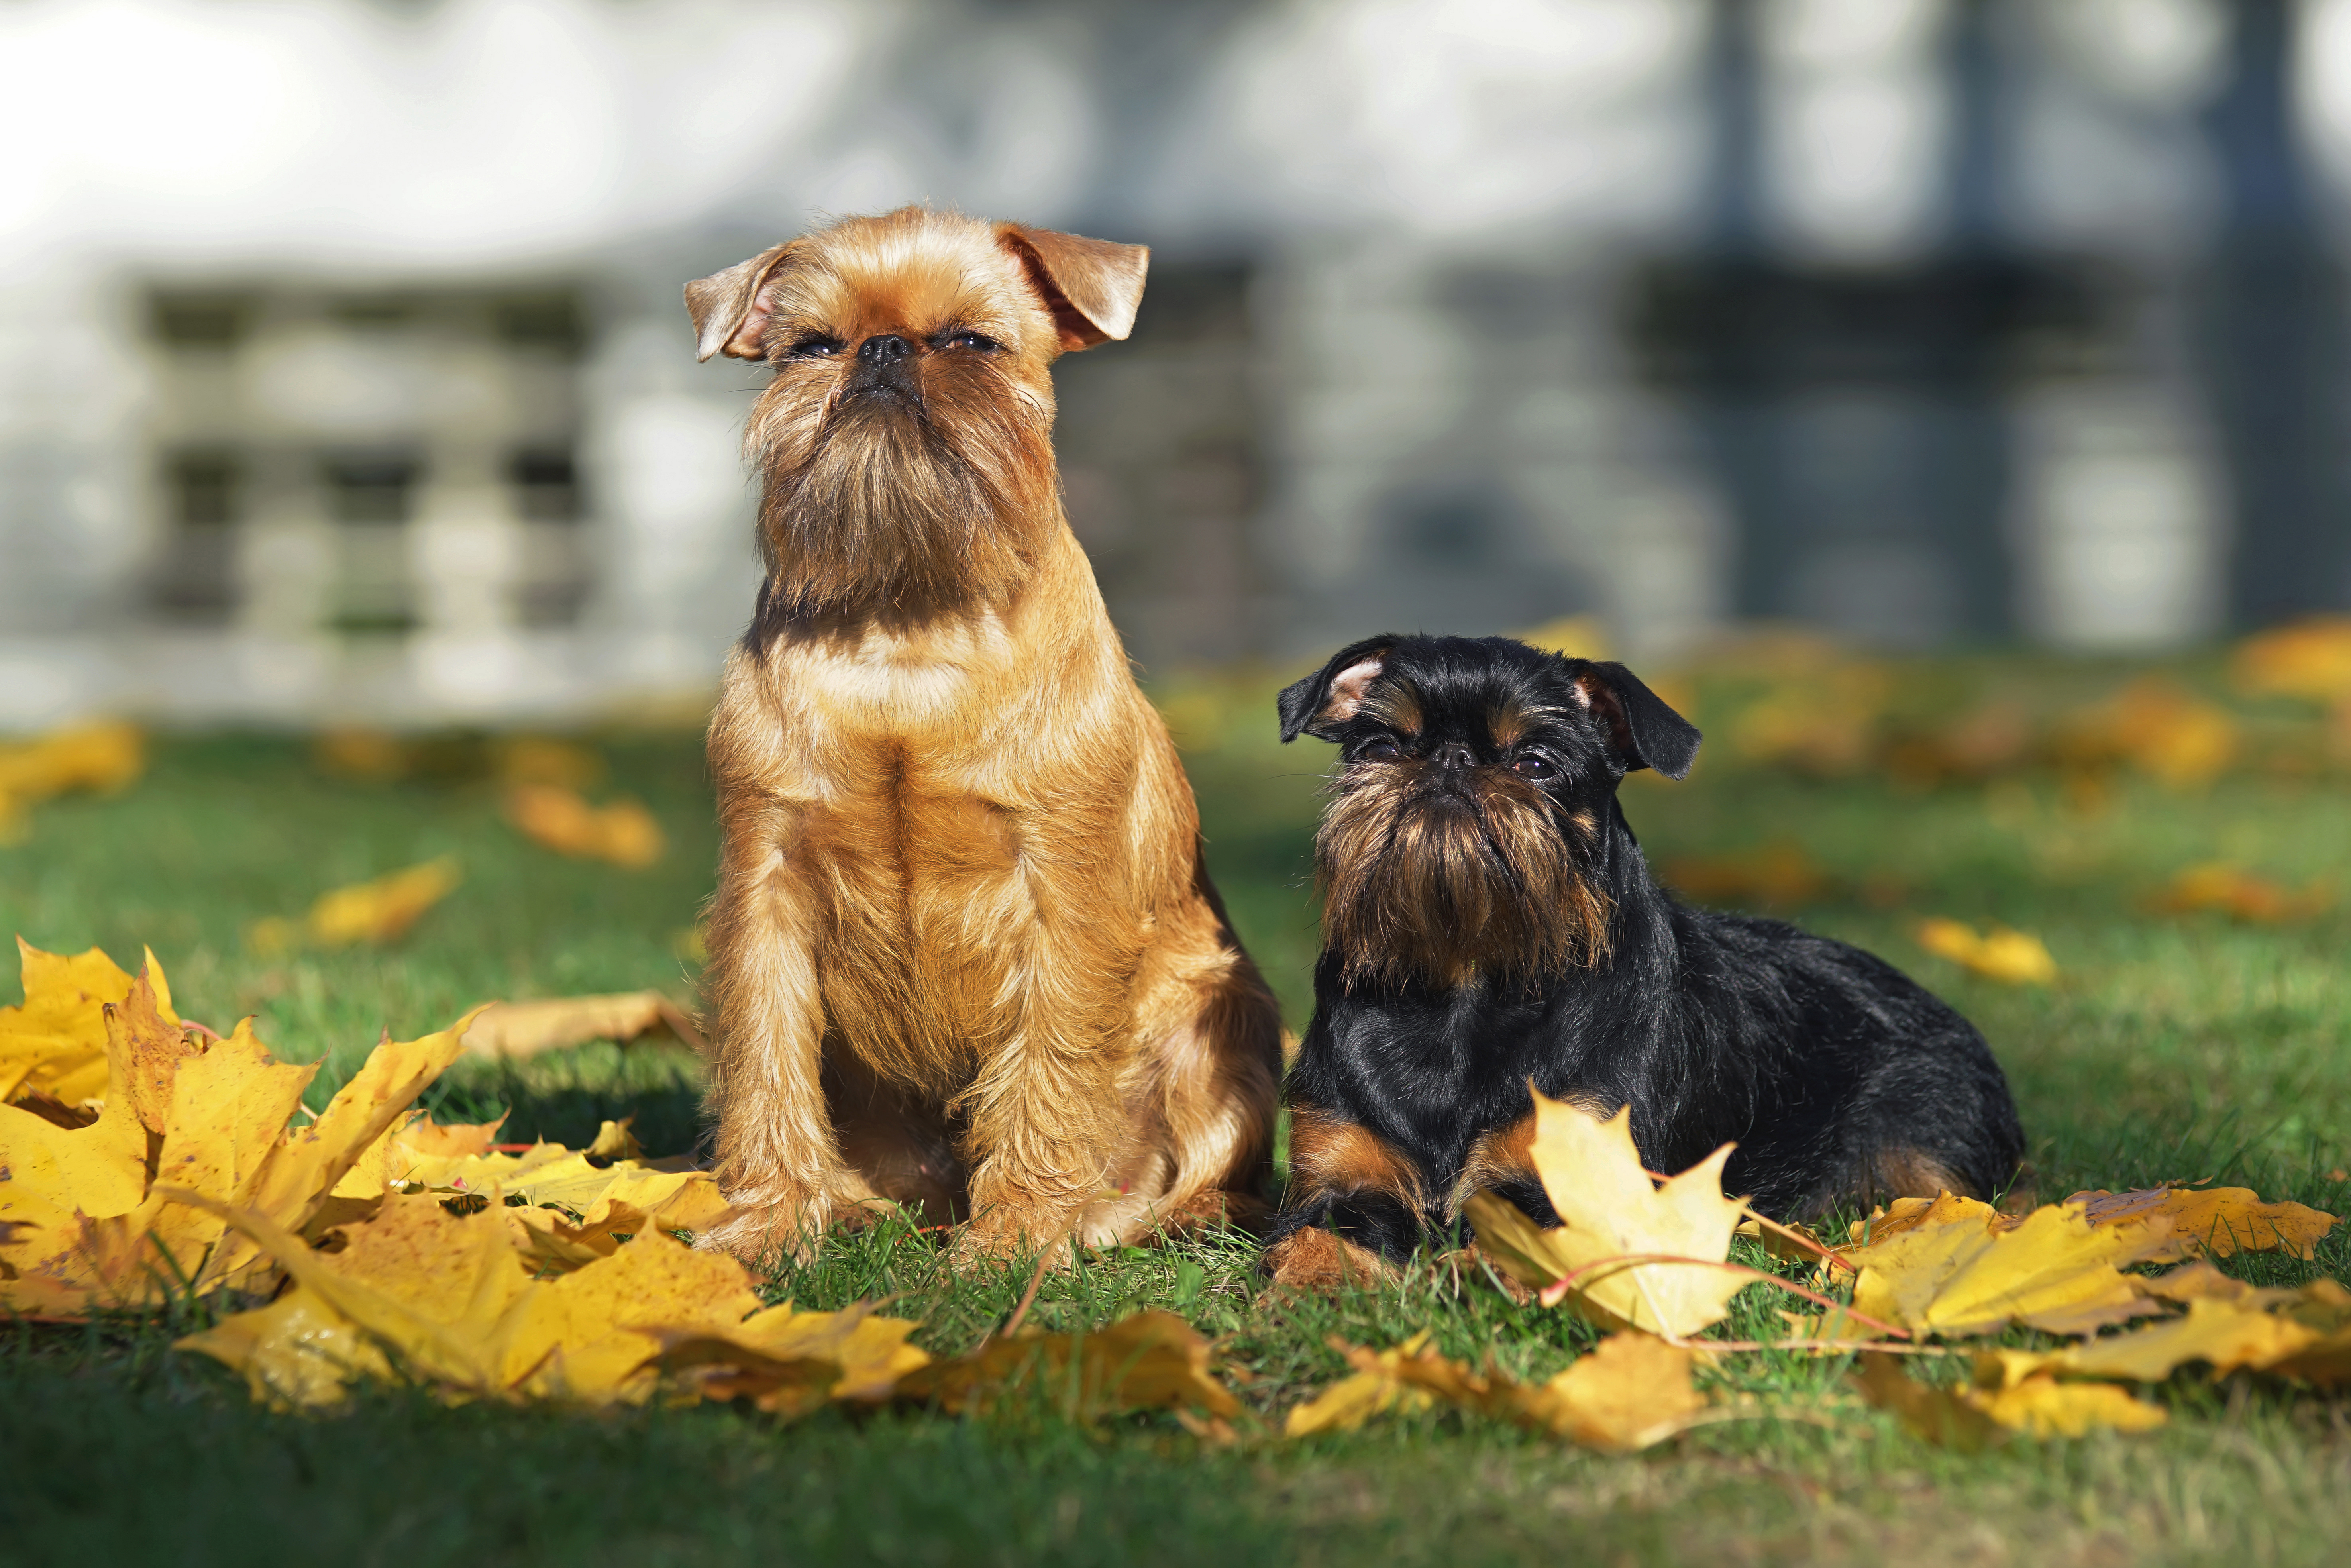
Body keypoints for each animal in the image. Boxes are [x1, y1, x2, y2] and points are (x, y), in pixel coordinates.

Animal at [682, 208, 1279, 1260]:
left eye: (970, 341)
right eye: (813, 345)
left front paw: (1019, 1235)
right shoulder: (766, 888)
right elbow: (765, 1062)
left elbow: (1050, 1066)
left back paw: (1152, 1217)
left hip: (1224, 1013)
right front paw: (771, 1220)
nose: (882, 351)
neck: (907, 623)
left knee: (1210, 1158)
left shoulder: (1062, 894)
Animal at [1270, 630, 2022, 1279]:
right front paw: (1303, 1296)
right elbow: (1315, 1240)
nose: (1450, 760)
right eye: (1381, 747)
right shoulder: (1335, 1179)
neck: (1464, 981)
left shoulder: (1580, 1185)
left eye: (1535, 764)